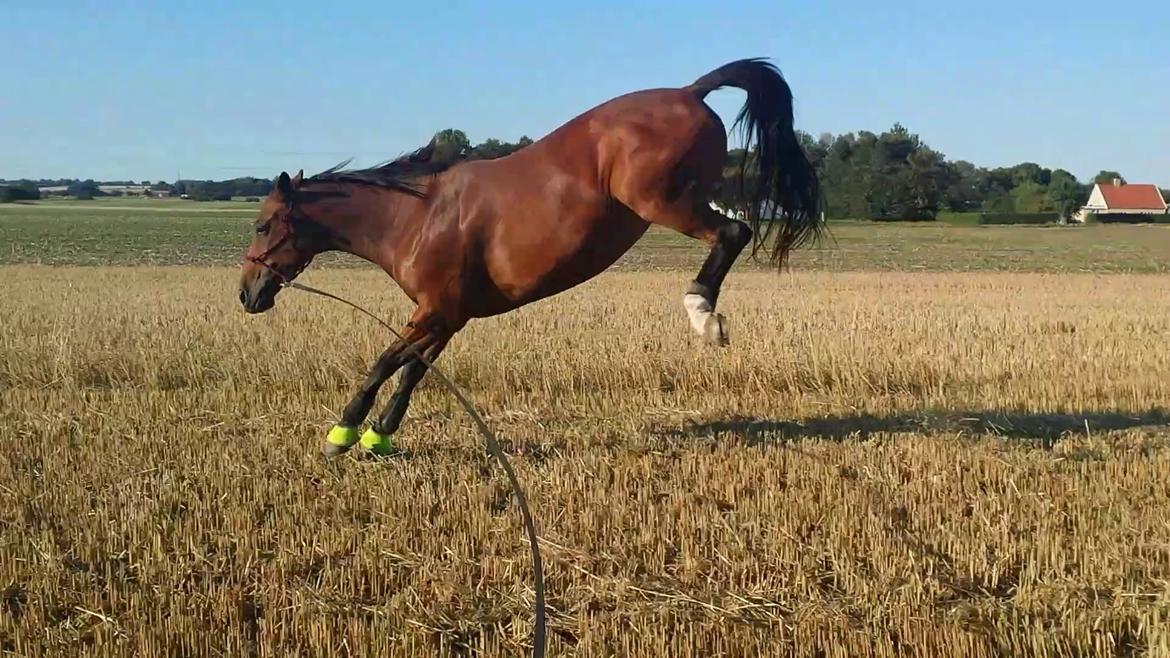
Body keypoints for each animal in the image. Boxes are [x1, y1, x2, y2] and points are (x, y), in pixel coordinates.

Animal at [237, 57, 823, 456]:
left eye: (263, 225)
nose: (247, 293)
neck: (415, 217)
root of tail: (689, 91)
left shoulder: (435, 311)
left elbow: (386, 360)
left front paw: (344, 432)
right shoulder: (447, 315)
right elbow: (413, 370)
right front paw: (380, 436)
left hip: (665, 201)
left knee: (734, 230)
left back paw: (703, 313)